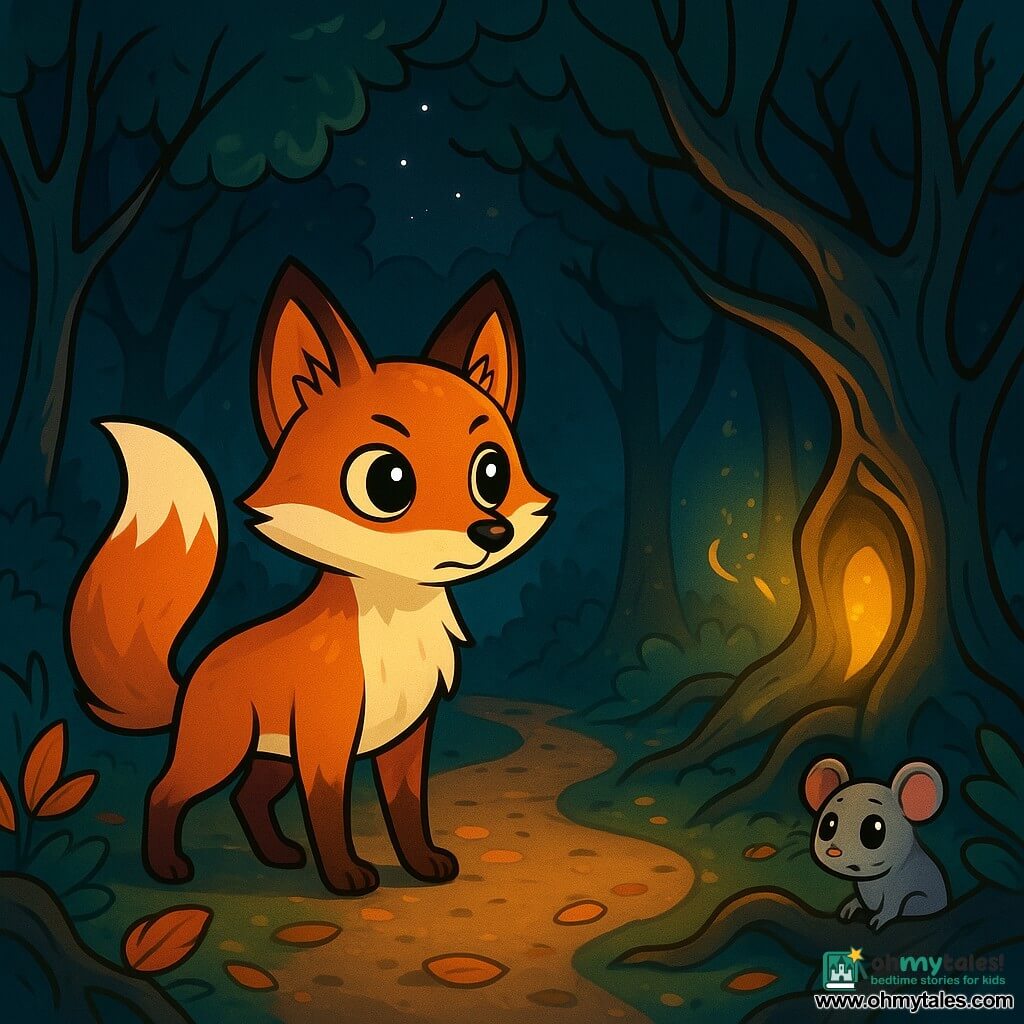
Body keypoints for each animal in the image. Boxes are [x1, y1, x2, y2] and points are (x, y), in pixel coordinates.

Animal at [68, 261, 553, 895]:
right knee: (165, 791)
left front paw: (422, 866)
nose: (491, 531)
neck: (395, 623)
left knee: (247, 799)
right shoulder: (327, 740)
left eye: (492, 472)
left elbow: (406, 810)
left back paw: (277, 855)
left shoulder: (407, 737)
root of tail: (195, 670)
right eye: (388, 482)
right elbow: (328, 811)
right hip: (221, 750)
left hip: (271, 757)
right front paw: (345, 876)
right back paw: (168, 867)